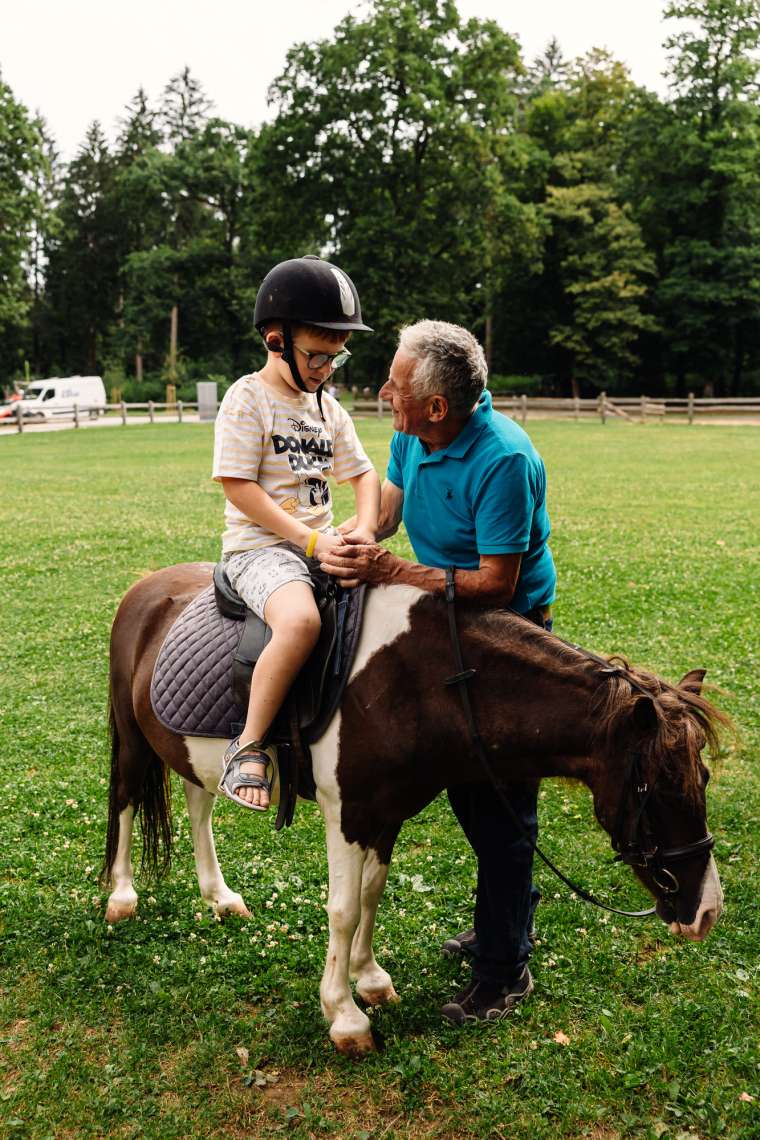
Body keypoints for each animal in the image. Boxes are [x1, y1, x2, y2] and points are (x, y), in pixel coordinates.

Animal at [100, 565, 724, 1053]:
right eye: (656, 789)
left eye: (703, 778)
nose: (707, 911)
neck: (422, 682)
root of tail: (145, 589)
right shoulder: (348, 814)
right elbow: (342, 910)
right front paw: (345, 1016)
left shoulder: (388, 812)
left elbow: (371, 895)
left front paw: (370, 979)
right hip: (132, 741)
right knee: (126, 802)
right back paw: (122, 896)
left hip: (185, 752)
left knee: (198, 803)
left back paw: (220, 896)